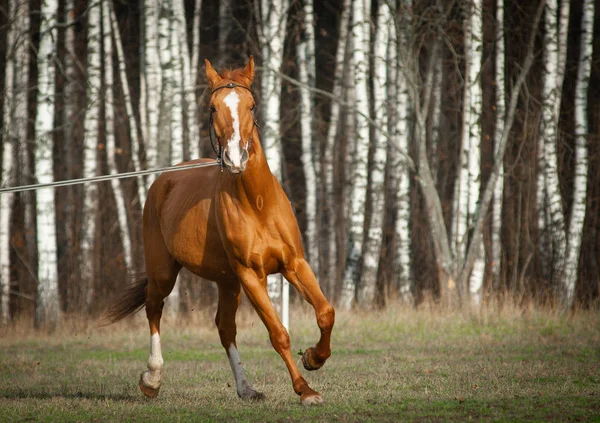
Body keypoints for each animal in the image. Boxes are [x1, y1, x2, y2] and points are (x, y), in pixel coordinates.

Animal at [106, 58, 336, 406]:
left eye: (251, 105)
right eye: (213, 107)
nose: (235, 158)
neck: (257, 203)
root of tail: (165, 180)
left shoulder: (294, 264)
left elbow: (325, 312)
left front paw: (314, 358)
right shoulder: (251, 274)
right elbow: (278, 333)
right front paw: (305, 390)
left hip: (227, 282)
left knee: (224, 327)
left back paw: (246, 389)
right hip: (165, 272)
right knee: (154, 307)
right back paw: (152, 379)